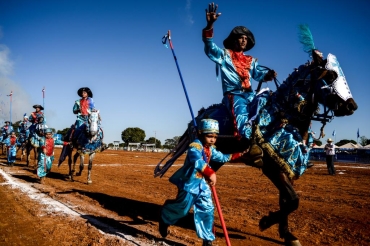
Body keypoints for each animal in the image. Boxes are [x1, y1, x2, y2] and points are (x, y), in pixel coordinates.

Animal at [155, 28, 356, 244]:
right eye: (332, 75)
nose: (352, 106)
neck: (285, 117)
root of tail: (200, 115)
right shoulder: (271, 166)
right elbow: (293, 200)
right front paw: (265, 222)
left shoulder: (288, 165)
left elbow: (287, 201)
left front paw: (287, 234)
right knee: (186, 181)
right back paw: (168, 221)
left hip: (216, 158)